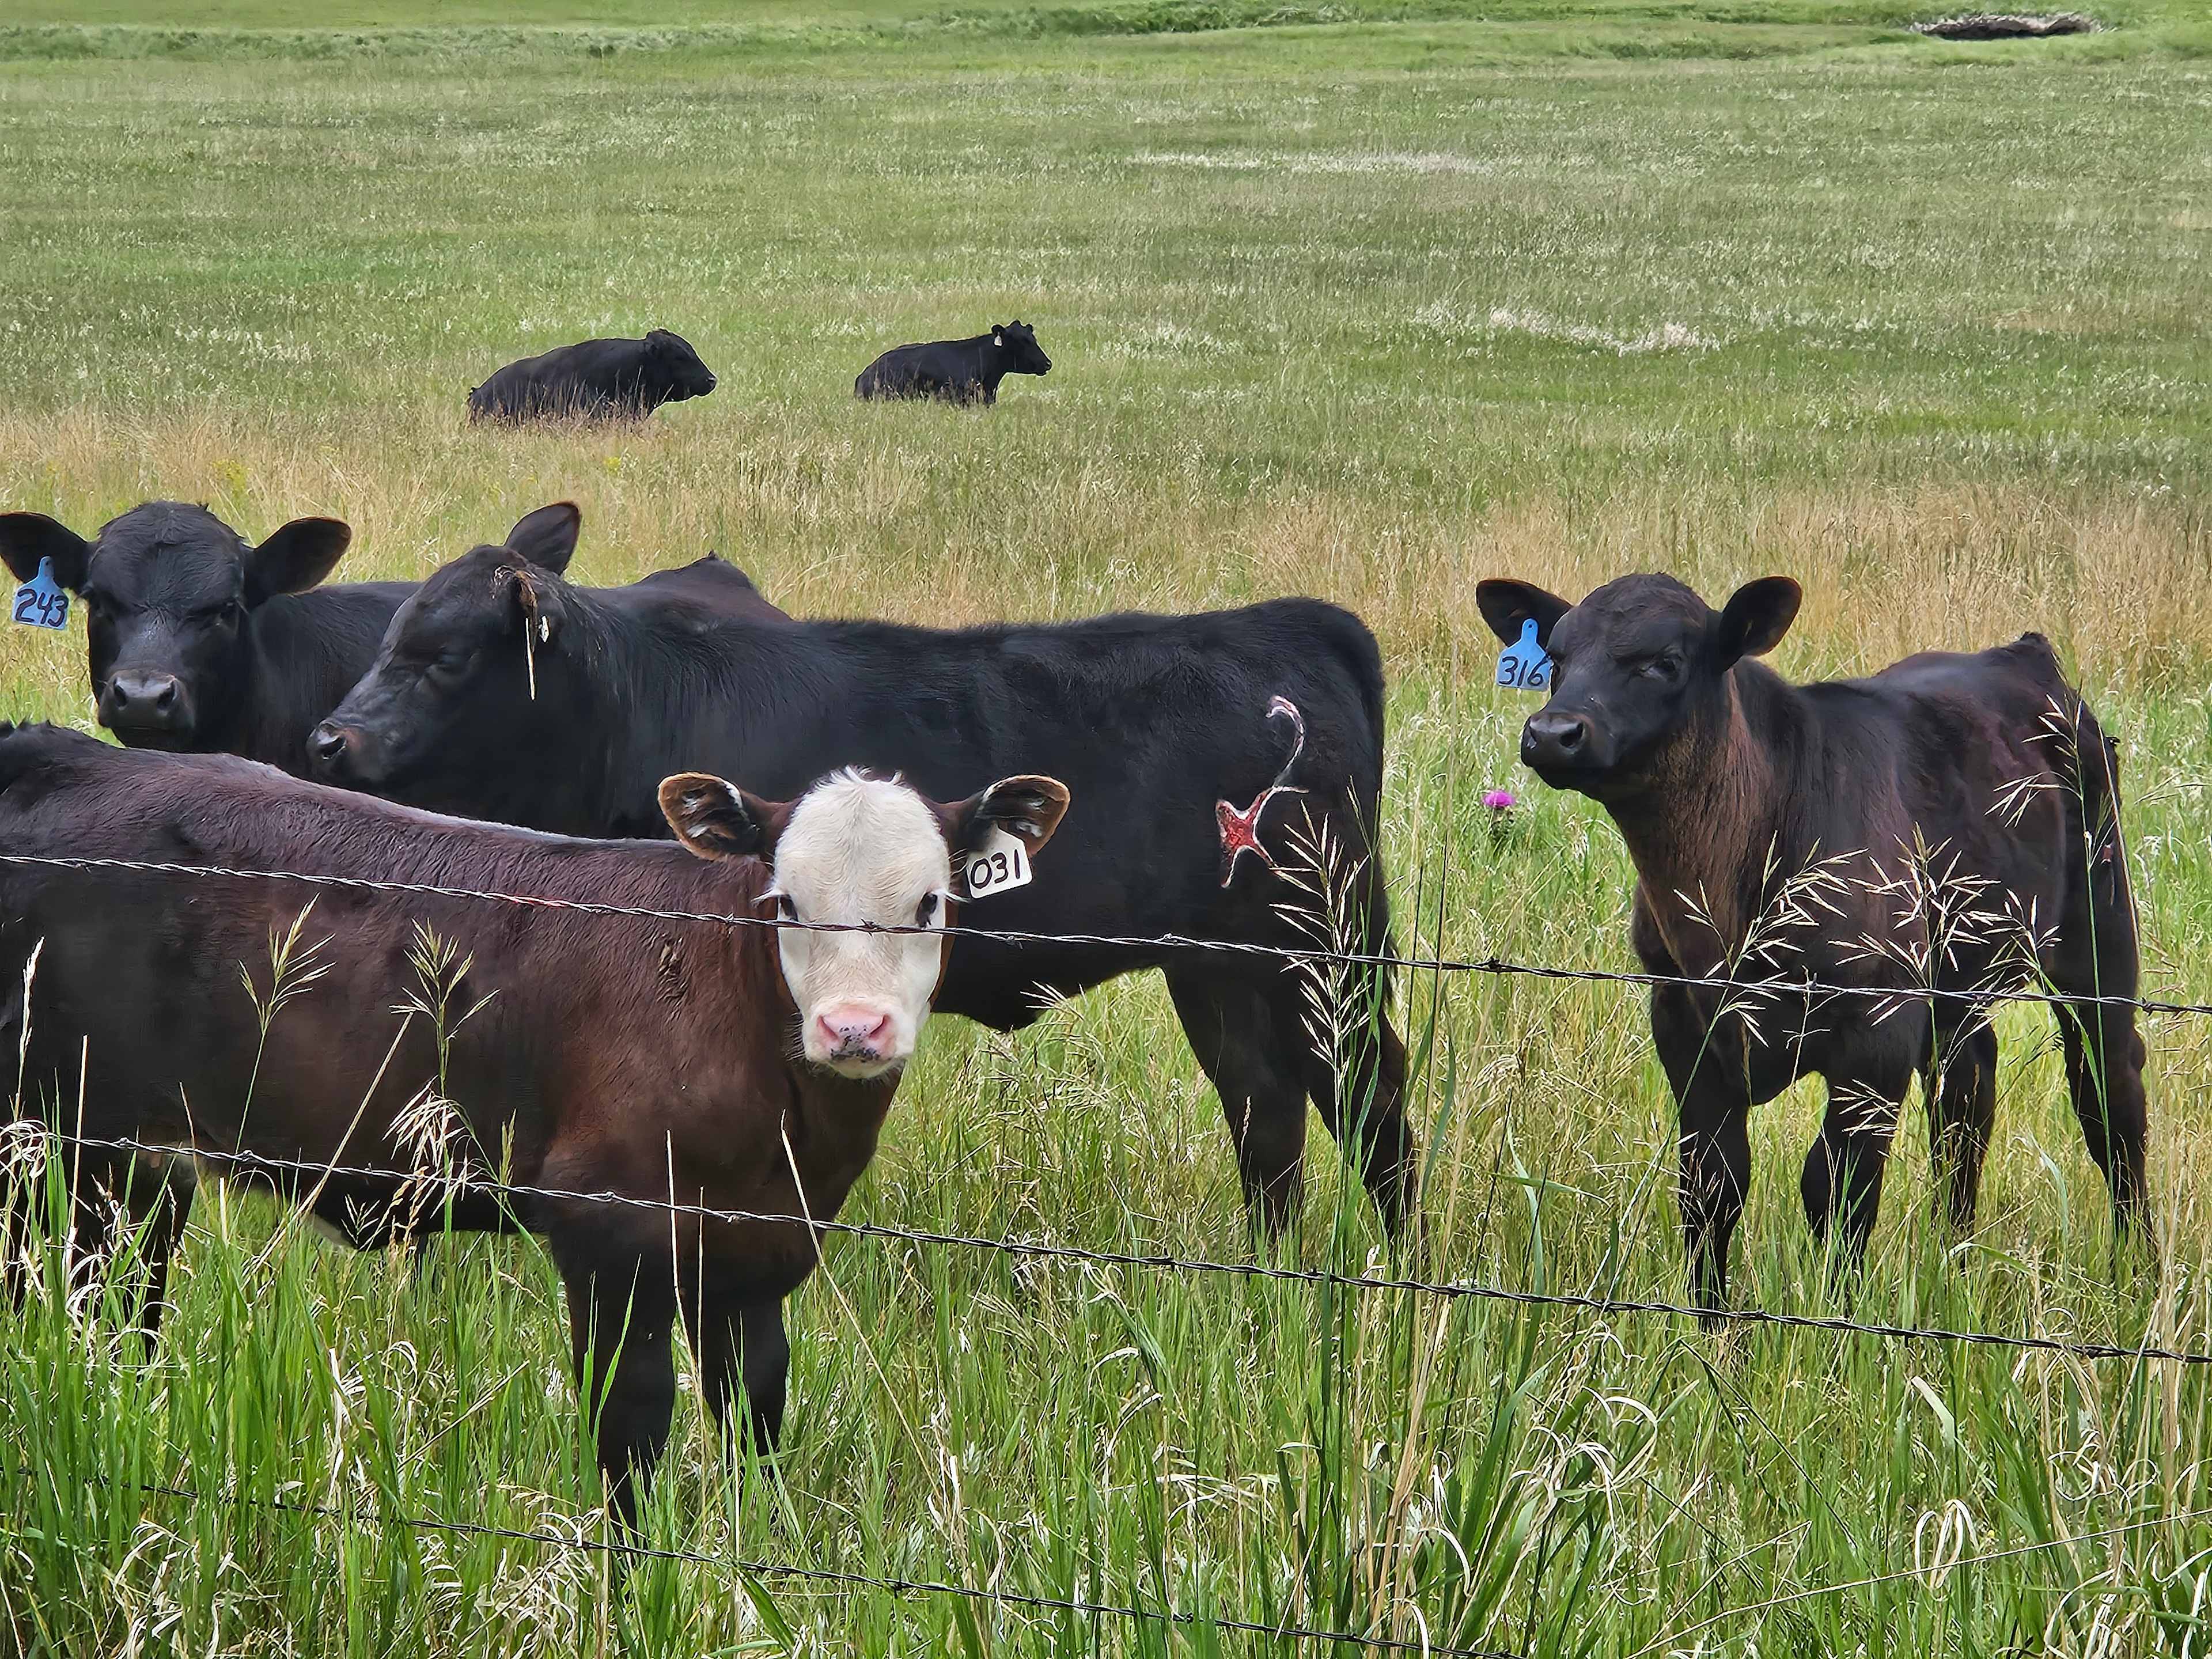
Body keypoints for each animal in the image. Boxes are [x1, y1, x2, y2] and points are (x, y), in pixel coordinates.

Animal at [0, 721, 1069, 1521]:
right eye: (787, 903)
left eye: (929, 902)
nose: (854, 1026)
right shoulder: (609, 1230)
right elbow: (632, 1430)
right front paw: (637, 1591)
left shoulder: (757, 1254)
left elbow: (754, 1414)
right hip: (63, 1142)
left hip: (127, 1165)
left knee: (114, 1309)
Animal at [308, 554, 1412, 1238]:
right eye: (387, 643)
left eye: (444, 659)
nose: (328, 740)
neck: (636, 706)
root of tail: (1288, 625)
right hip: (1222, 973)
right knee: (1266, 1110)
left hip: (1323, 956)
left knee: (1370, 1097)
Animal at [1477, 572, 2151, 1314]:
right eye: (1556, 661)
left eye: (1665, 661)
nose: (1552, 732)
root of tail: (2024, 654)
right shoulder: (1682, 1024)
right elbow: (1711, 1185)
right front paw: (1711, 1331)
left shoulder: (1876, 1036)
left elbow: (1837, 1189)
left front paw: (1838, 1324)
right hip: (1954, 980)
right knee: (1967, 1095)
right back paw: (1955, 1257)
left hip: (2099, 931)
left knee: (2108, 1096)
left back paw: (2137, 1274)